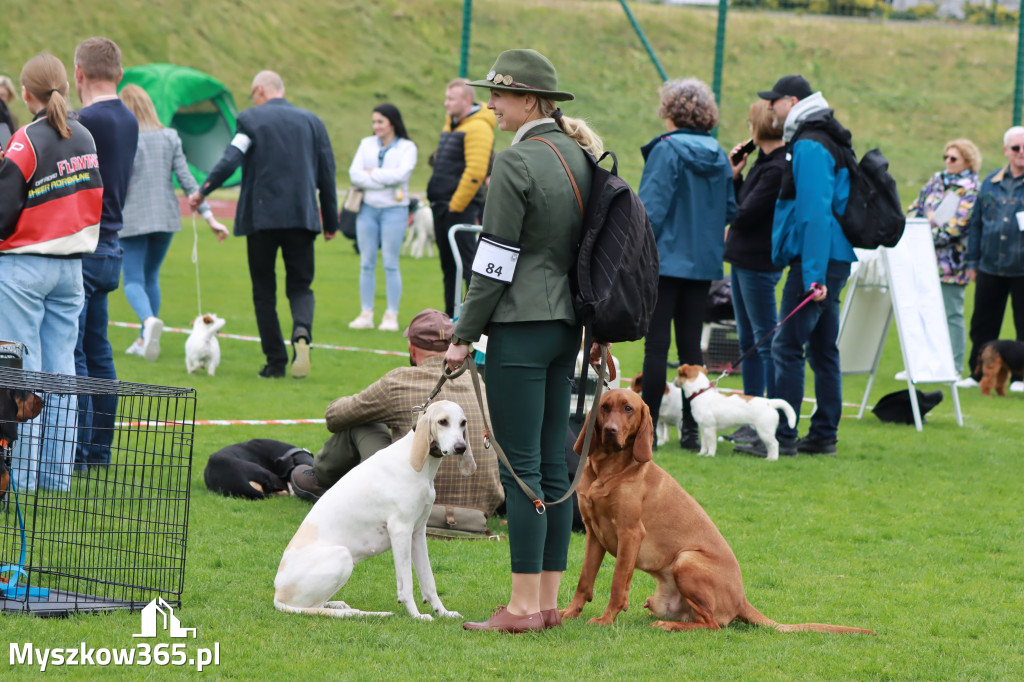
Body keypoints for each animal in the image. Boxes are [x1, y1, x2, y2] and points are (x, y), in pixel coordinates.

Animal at [274, 399, 477, 614]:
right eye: (442, 421)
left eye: (463, 422)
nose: (461, 447)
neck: (416, 463)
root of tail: (278, 596)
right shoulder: (400, 531)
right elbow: (406, 585)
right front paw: (417, 615)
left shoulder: (418, 532)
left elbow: (428, 581)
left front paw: (442, 612)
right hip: (342, 555)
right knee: (312, 608)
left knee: (319, 606)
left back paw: (340, 606)